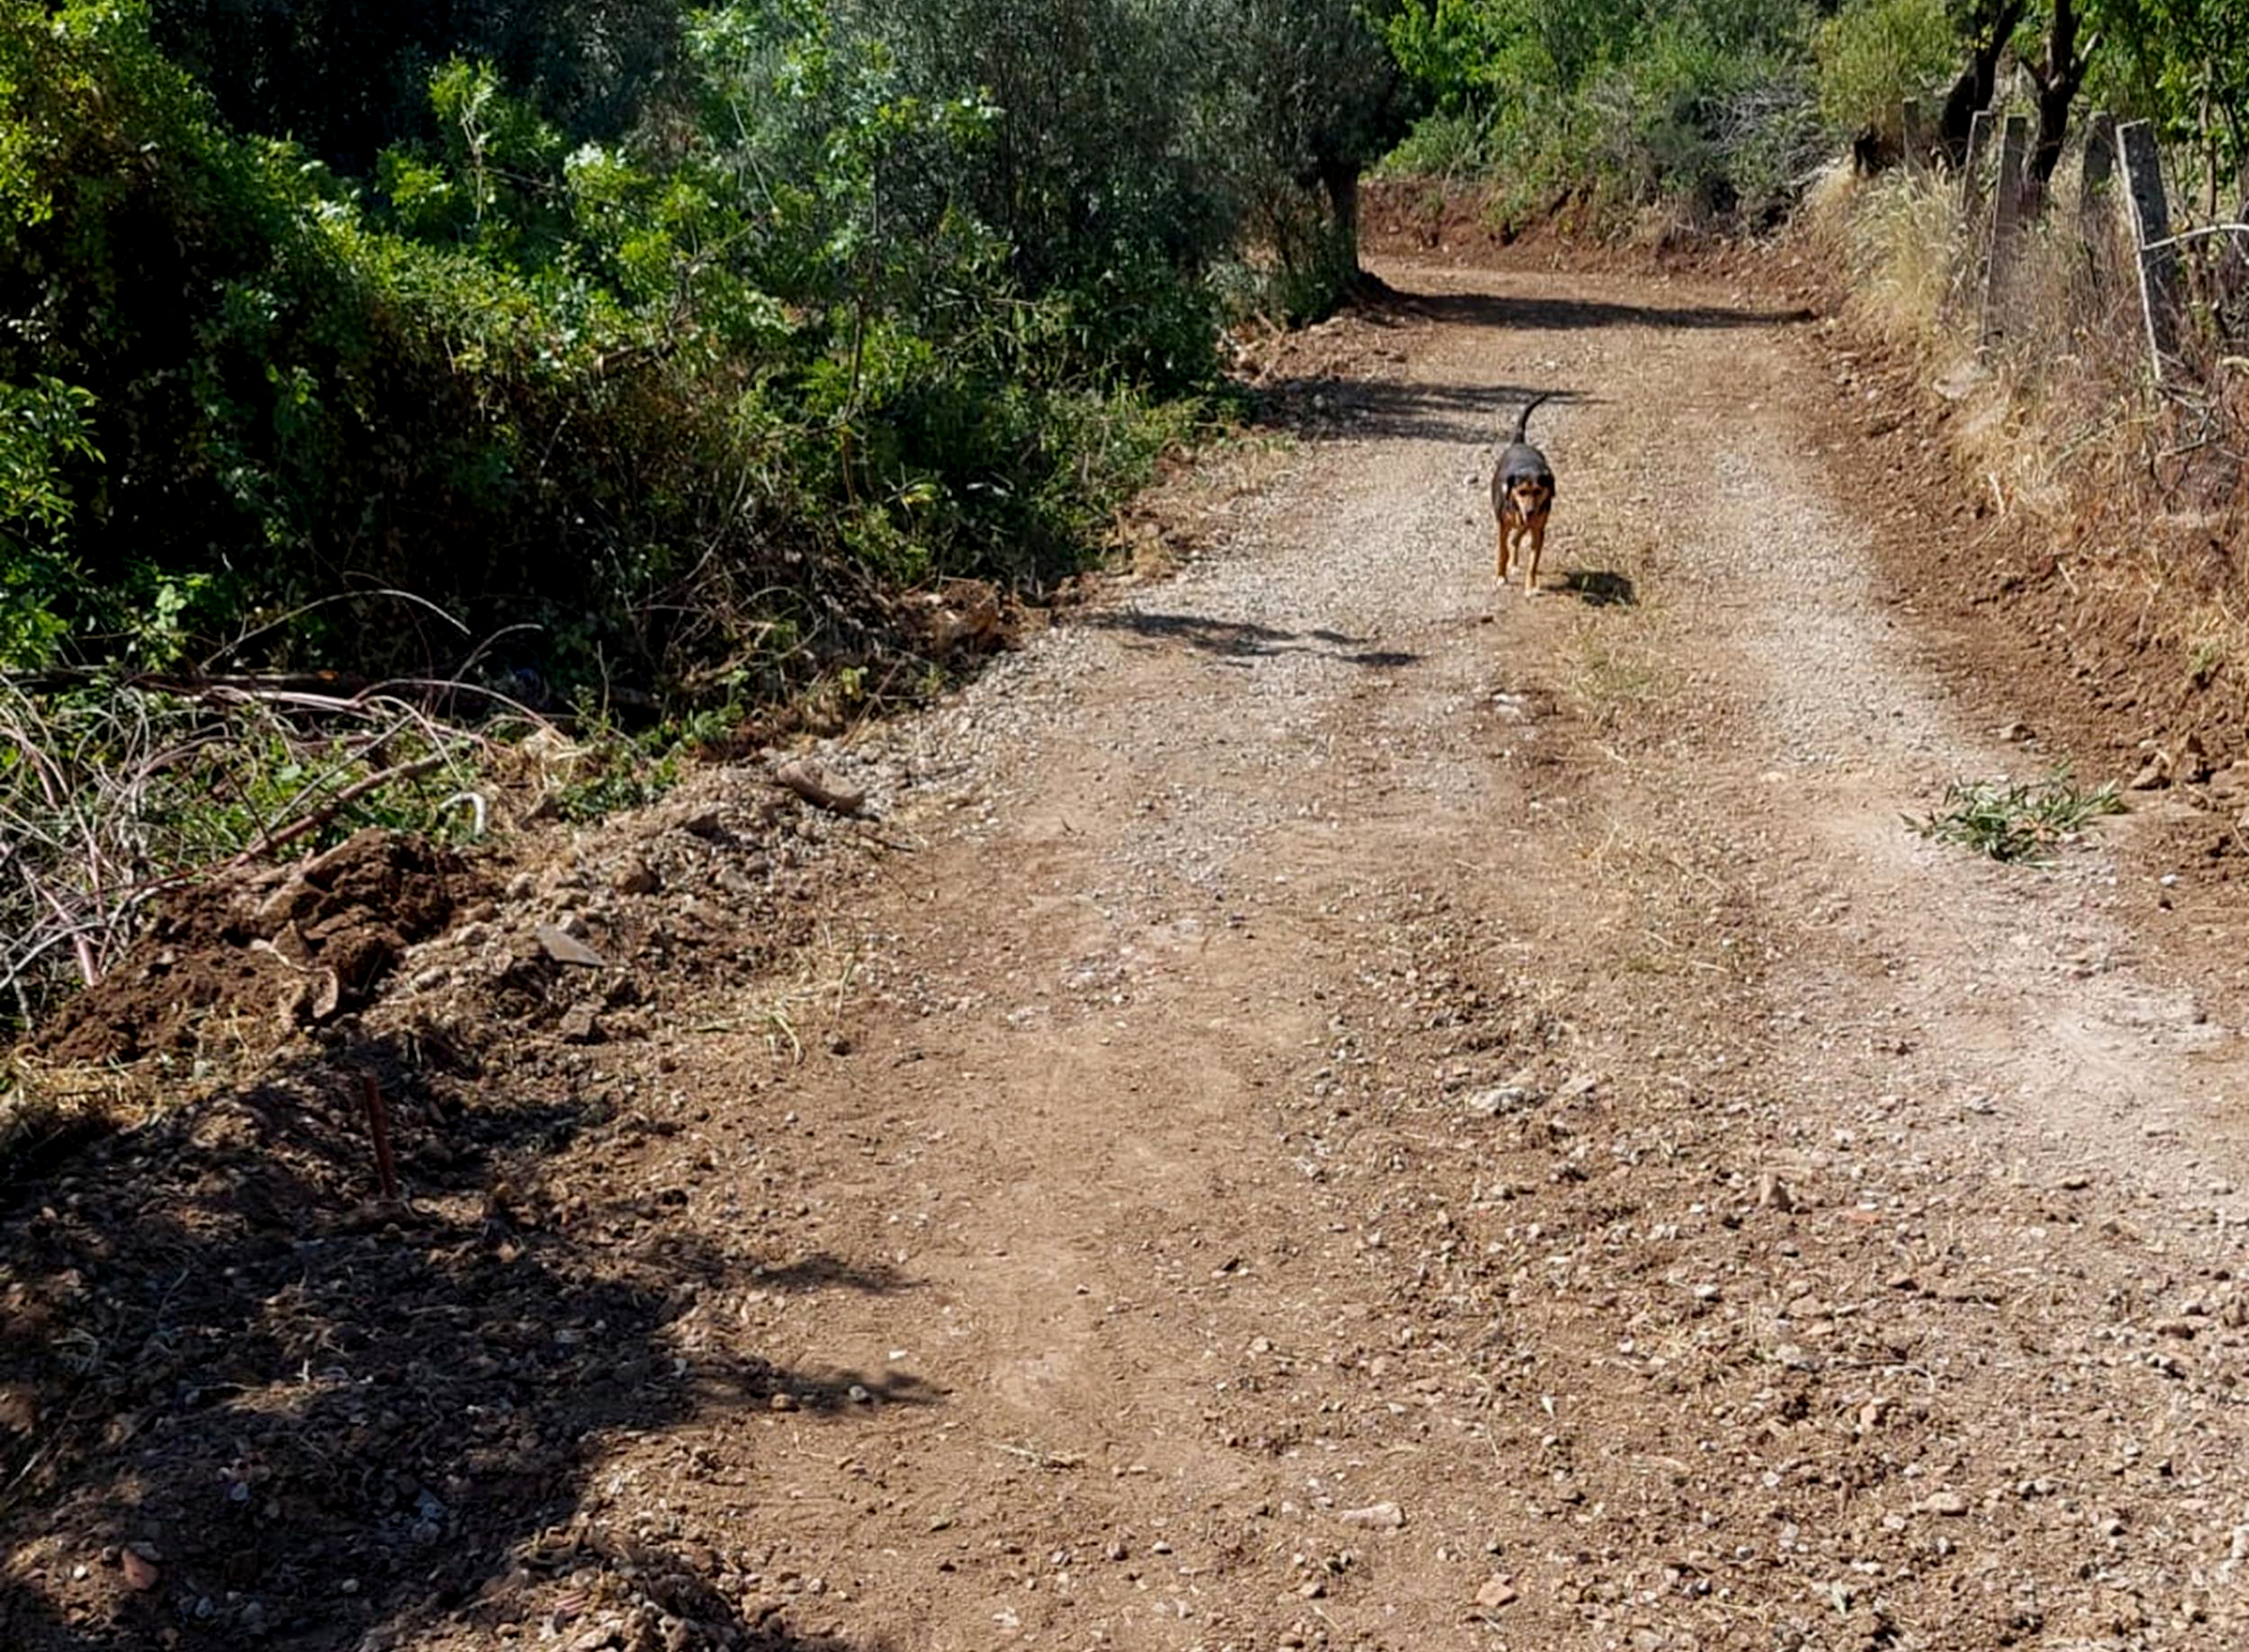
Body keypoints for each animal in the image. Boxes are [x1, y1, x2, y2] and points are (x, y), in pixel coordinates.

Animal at [1493, 393, 1565, 593]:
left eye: (1538, 491)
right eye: (1521, 491)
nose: (1530, 510)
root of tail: (1520, 442)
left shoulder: (1539, 530)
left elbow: (1533, 561)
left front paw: (1531, 586)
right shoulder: (1503, 525)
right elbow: (1502, 551)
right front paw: (1501, 576)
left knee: (1517, 537)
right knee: (1512, 539)